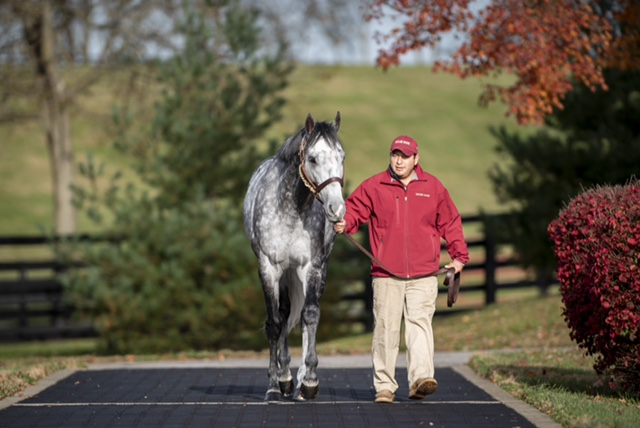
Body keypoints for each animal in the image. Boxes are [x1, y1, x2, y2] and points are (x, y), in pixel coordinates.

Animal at [244, 111, 344, 402]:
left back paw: (297, 380)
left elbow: (309, 316)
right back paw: (285, 378)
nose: (337, 209)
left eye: (341, 156)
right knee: (284, 313)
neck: (290, 207)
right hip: (284, 274)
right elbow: (274, 323)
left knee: (303, 315)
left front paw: (309, 381)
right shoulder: (268, 268)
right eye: (312, 158)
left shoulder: (311, 266)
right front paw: (273, 385)